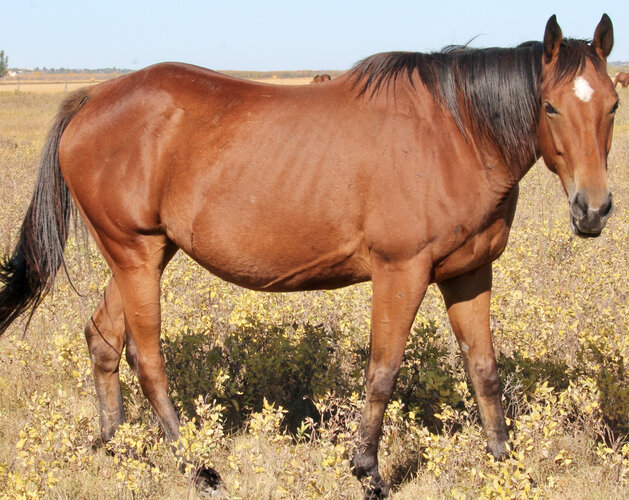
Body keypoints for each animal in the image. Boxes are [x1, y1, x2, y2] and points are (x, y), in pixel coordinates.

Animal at [0, 13, 620, 498]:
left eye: (614, 105)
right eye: (550, 107)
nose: (593, 209)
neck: (456, 132)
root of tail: (92, 98)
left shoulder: (469, 272)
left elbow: (485, 371)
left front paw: (505, 465)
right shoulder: (401, 270)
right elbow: (382, 371)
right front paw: (367, 471)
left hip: (141, 254)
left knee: (103, 339)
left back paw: (115, 444)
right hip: (136, 255)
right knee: (146, 357)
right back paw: (195, 466)